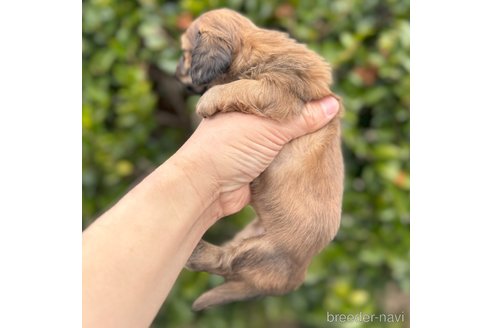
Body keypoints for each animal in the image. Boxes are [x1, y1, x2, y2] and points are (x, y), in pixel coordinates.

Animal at [175, 7, 344, 310]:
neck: (253, 48)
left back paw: (196, 251)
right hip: (250, 234)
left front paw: (208, 101)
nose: (174, 73)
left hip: (259, 250)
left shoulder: (277, 90)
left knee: (226, 262)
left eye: (185, 54)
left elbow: (241, 87)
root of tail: (297, 277)